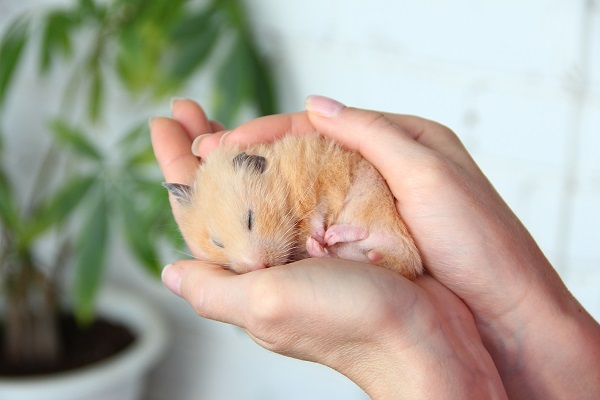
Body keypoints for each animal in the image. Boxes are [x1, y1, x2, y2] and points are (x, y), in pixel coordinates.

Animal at [163, 133, 422, 280]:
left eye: (250, 219)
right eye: (217, 243)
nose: (260, 267)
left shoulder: (321, 180)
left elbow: (319, 210)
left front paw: (319, 232)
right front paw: (316, 239)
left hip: (370, 198)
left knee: (364, 229)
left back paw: (330, 235)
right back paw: (321, 246)